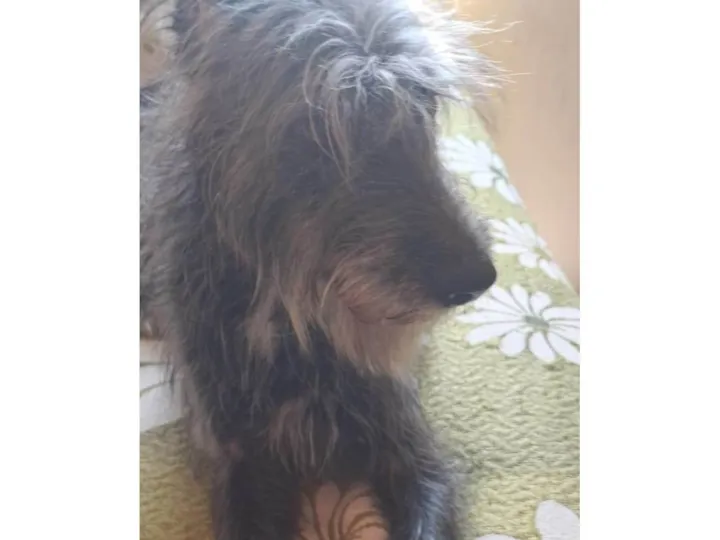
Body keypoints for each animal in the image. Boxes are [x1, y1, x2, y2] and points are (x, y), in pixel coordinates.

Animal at [140, 0, 498, 538]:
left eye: (426, 103)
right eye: (317, 125)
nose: (478, 279)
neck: (299, 328)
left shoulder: (413, 452)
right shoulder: (242, 461)